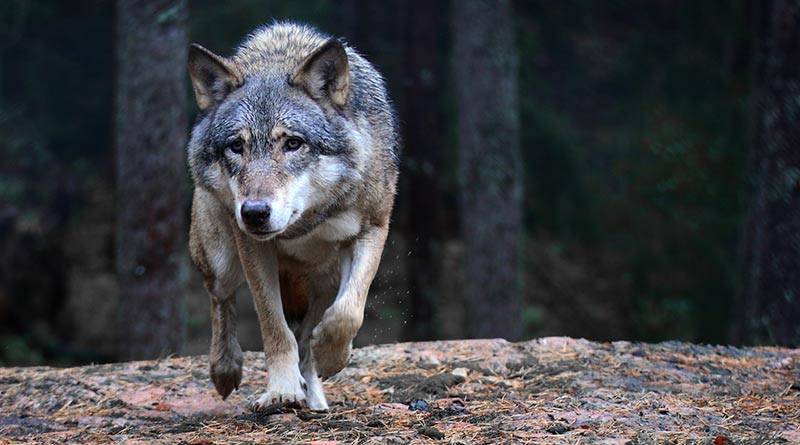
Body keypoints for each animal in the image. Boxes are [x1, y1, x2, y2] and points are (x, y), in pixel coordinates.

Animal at [186, 22, 399, 411]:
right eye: (236, 146)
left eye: (293, 143)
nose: (254, 213)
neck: (306, 225)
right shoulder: (253, 248)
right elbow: (275, 328)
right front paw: (281, 390)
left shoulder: (373, 230)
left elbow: (348, 314)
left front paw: (330, 357)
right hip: (221, 260)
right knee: (221, 299)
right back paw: (226, 369)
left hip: (324, 280)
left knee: (309, 336)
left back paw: (314, 396)